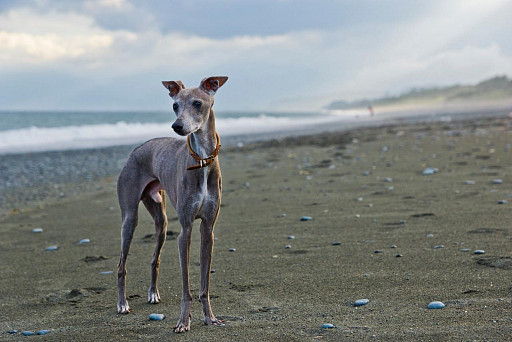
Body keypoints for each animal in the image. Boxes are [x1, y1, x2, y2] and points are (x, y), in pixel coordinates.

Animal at [117, 77, 229, 332]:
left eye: (197, 103)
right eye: (175, 105)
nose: (177, 126)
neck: (202, 161)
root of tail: (135, 151)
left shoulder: (208, 229)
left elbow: (205, 283)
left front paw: (210, 317)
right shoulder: (185, 231)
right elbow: (186, 286)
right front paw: (183, 321)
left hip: (162, 219)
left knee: (154, 258)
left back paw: (152, 293)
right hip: (129, 218)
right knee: (121, 265)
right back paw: (122, 304)